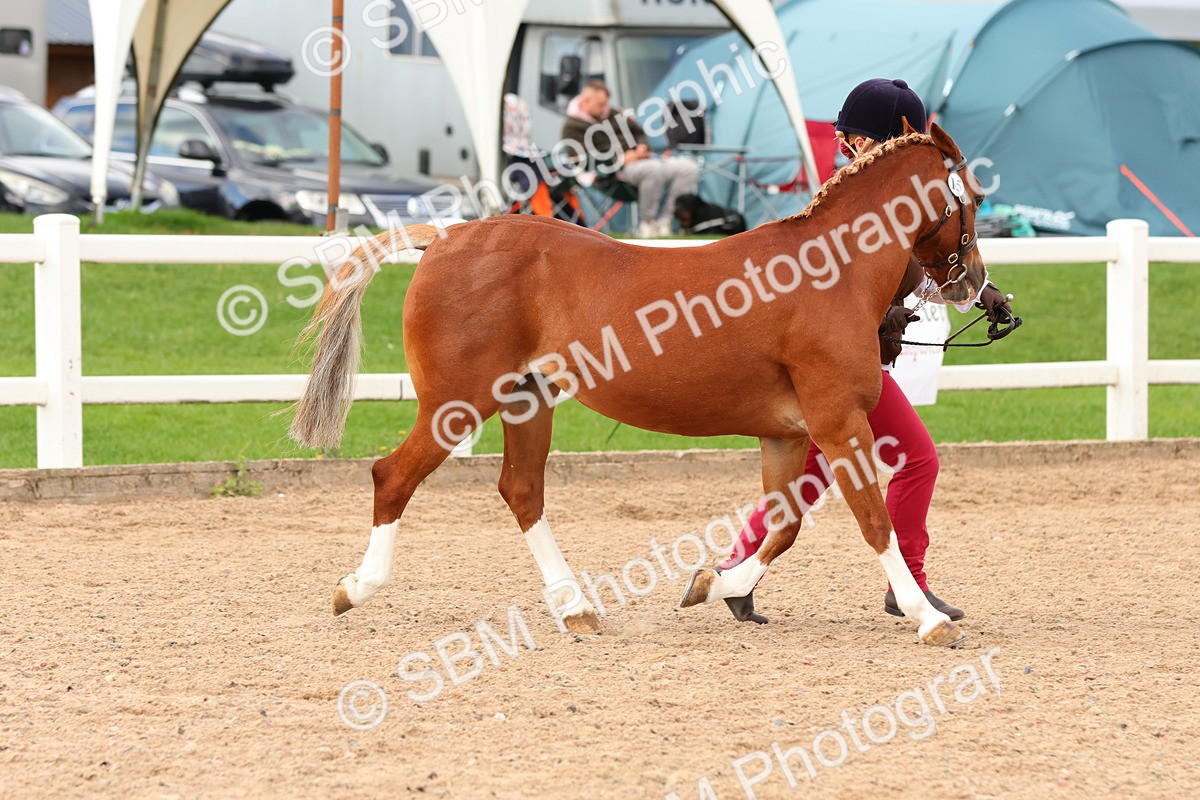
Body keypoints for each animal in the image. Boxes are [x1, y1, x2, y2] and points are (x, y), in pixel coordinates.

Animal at [290, 123, 987, 647]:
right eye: (975, 198)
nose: (975, 285)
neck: (830, 272)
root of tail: (448, 235)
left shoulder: (788, 436)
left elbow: (784, 527)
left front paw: (715, 586)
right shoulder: (839, 423)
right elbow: (874, 521)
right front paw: (929, 620)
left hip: (526, 399)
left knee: (521, 490)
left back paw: (576, 608)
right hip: (456, 405)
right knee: (393, 477)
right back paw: (354, 590)